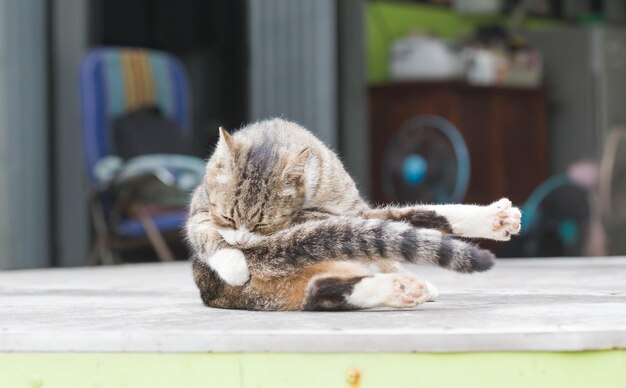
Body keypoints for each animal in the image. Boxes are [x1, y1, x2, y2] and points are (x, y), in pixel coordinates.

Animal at [186, 118, 520, 312]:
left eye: (264, 223)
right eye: (227, 218)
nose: (240, 243)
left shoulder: (353, 209)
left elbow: (420, 216)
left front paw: (495, 219)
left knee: (320, 289)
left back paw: (401, 287)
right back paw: (402, 287)